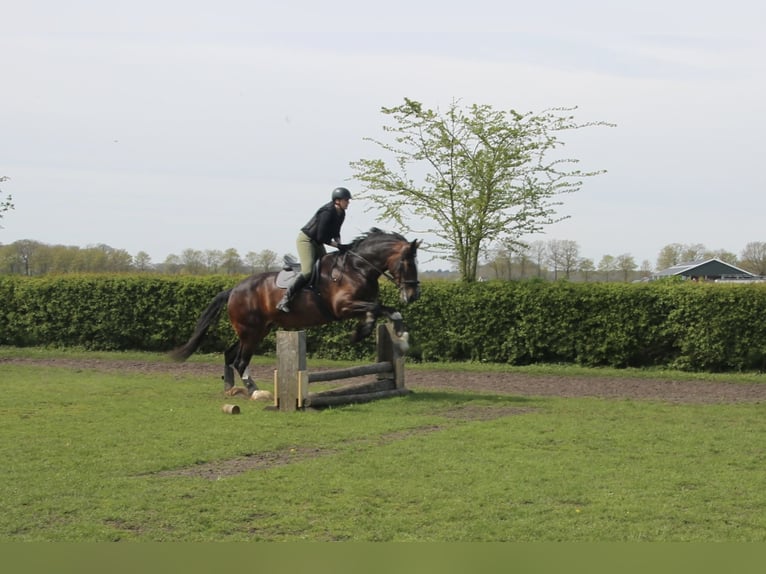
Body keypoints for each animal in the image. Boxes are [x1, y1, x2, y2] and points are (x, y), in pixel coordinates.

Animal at [169, 228, 421, 395]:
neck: (357, 268)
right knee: (240, 360)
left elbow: (381, 311)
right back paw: (254, 391)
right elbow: (382, 309)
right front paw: (399, 340)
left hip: (257, 330)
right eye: (407, 263)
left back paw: (230, 388)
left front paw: (369, 332)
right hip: (250, 331)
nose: (413, 296)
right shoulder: (343, 307)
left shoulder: (361, 303)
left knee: (230, 355)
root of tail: (233, 289)